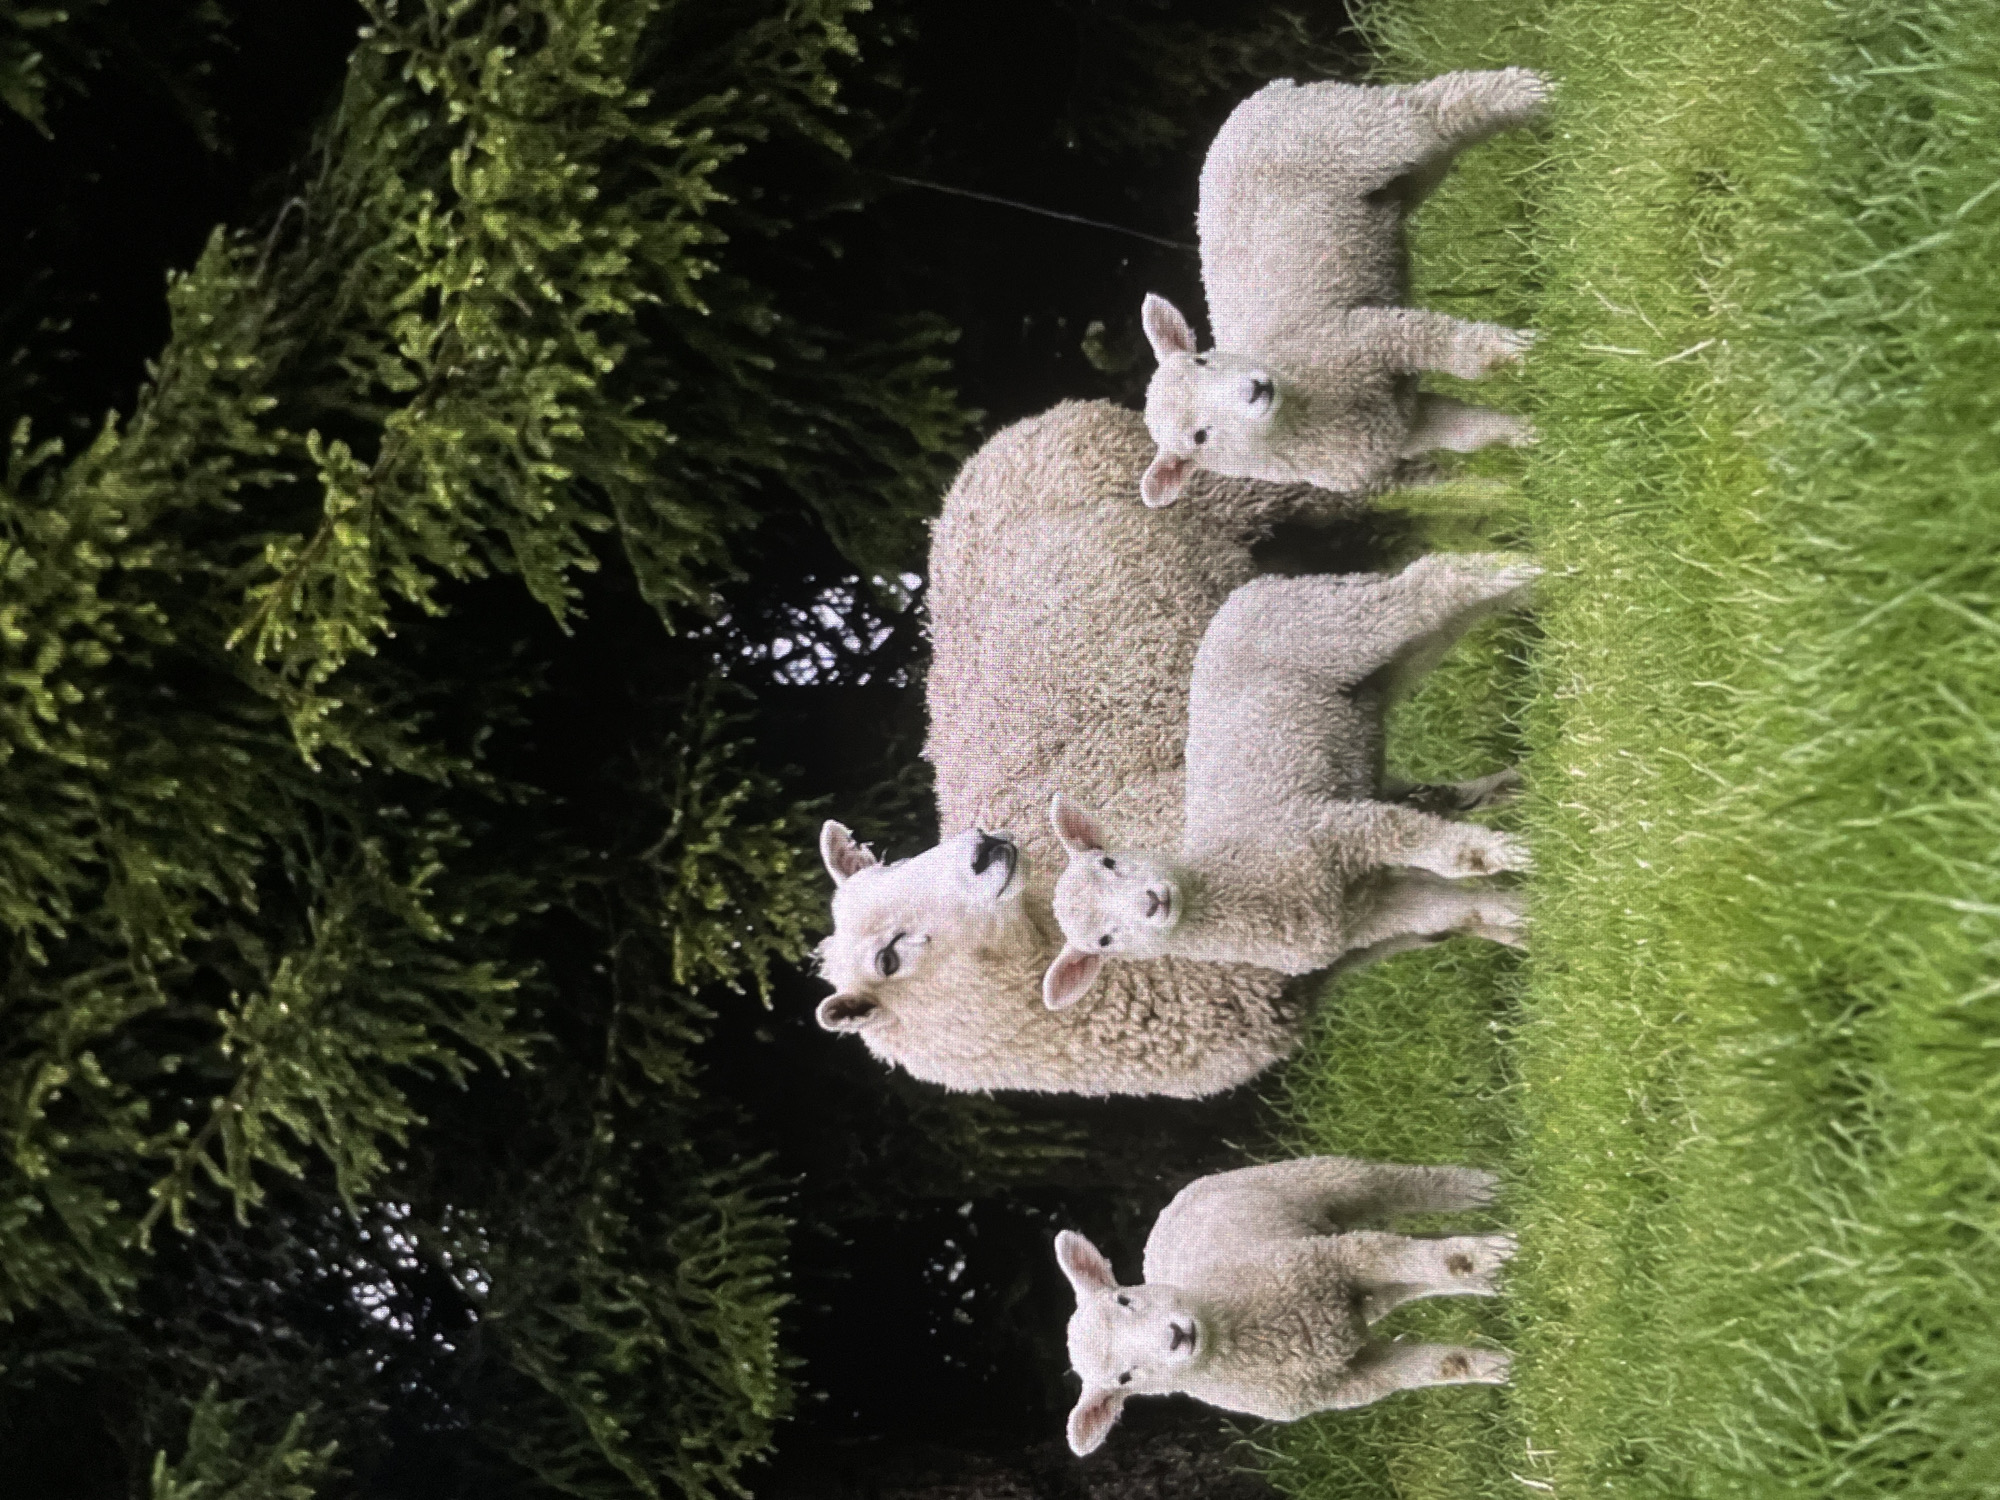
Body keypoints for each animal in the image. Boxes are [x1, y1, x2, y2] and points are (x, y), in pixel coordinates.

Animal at [1043, 555, 1537, 1009]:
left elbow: (1443, 849)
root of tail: (1251, 589)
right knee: (1440, 615)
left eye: (1109, 861)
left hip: (1328, 630)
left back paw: (1524, 573)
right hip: (1374, 669)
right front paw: (1529, 917)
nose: (1152, 902)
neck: (1236, 880)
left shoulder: (1333, 828)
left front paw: (1508, 854)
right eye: (1104, 942)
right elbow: (1461, 909)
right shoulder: (1372, 913)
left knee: (1430, 584)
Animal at [1056, 1156, 1516, 1454]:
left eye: (1125, 1299)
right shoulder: (1354, 1380)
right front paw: (1500, 1369)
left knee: (1403, 1187)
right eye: (1124, 1378)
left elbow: (1437, 1260)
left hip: (1316, 1182)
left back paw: (1486, 1188)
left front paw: (1487, 1256)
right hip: (1342, 1268)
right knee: (1410, 1274)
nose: (1176, 1336)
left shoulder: (1342, 1259)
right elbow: (1440, 1365)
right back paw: (1495, 1271)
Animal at [1139, 68, 1551, 508]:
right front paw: (1530, 434)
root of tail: (1257, 98)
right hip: (1393, 178)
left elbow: (1456, 352)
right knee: (1438, 135)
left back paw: (1536, 94)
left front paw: (1518, 353)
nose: (1255, 389)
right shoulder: (1404, 430)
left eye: (1202, 361)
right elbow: (1469, 432)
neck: (1302, 402)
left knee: (1435, 111)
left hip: (1348, 135)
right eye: (1199, 437)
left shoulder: (1364, 337)